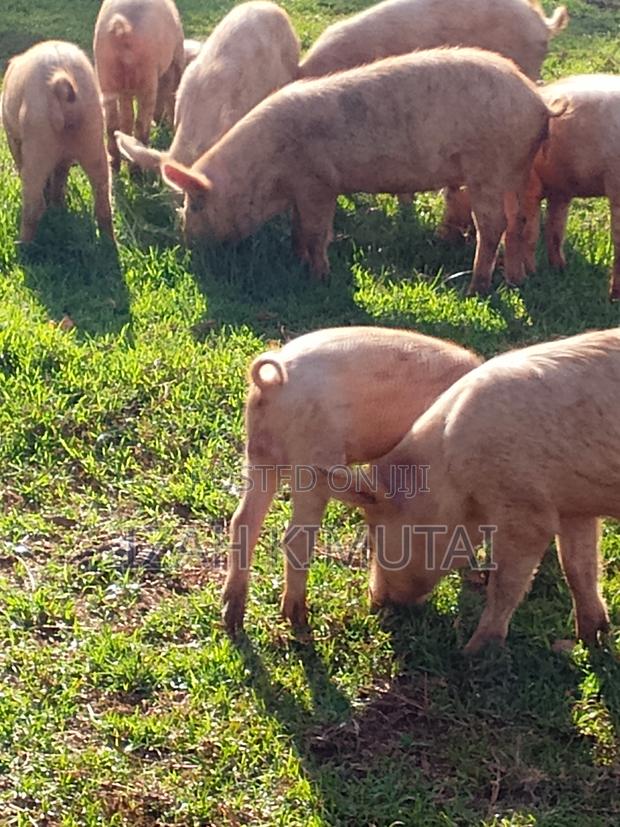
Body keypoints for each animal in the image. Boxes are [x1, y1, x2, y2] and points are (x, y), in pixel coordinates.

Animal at [1, 40, 113, 243]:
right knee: (103, 202)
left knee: (34, 205)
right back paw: (109, 244)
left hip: (38, 141)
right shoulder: (65, 157)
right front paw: (58, 204)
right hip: (94, 137)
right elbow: (60, 176)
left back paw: (23, 246)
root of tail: (61, 80)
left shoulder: (13, 138)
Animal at [93, 0, 185, 170]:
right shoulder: (177, 55)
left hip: (105, 74)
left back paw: (115, 164)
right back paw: (136, 168)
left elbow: (126, 115)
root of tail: (122, 29)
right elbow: (173, 94)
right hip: (146, 76)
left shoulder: (123, 90)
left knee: (112, 123)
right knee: (141, 122)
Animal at [161, 48, 558, 294]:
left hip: (487, 170)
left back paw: (473, 289)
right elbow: (300, 229)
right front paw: (298, 260)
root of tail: (537, 102)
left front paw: (319, 278)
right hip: (515, 170)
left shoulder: (318, 182)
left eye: (195, 204)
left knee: (492, 226)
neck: (267, 168)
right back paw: (515, 280)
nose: (187, 243)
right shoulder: (304, 190)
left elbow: (316, 232)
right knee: (518, 221)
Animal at [223, 325, 482, 634]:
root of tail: (273, 382)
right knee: (295, 537)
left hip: (260, 454)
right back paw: (299, 622)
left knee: (243, 520)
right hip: (312, 459)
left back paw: (232, 618)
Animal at [326, 328, 620, 653]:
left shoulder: (525, 508)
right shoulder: (573, 507)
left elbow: (505, 583)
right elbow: (578, 568)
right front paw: (585, 641)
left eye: (376, 531)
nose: (376, 602)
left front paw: (472, 652)